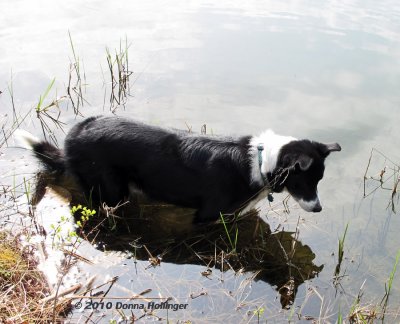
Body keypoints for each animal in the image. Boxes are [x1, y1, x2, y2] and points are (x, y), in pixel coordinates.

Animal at [15, 116, 340, 223]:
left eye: (320, 180)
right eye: (304, 182)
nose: (319, 208)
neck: (261, 162)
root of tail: (74, 135)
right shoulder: (208, 217)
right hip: (109, 189)